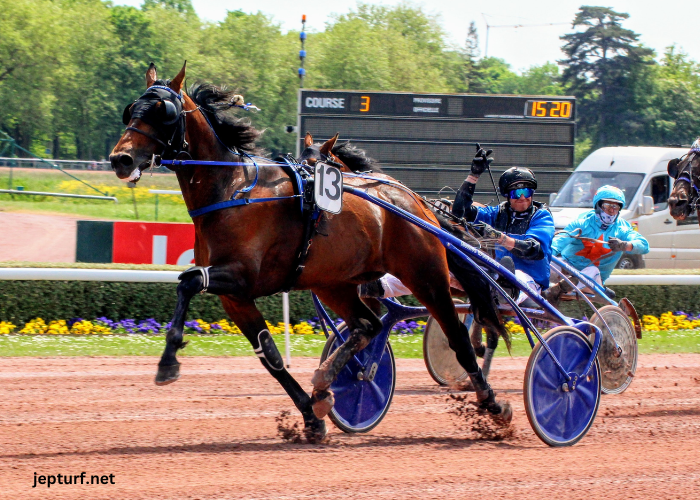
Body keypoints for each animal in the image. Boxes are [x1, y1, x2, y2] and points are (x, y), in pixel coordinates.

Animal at [109, 62, 508, 442]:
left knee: (457, 337)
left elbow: (188, 281)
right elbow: (269, 355)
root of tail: (417, 203)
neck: (232, 189)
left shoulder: (241, 276)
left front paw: (168, 361)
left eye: (162, 111)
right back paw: (324, 383)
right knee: (368, 324)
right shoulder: (235, 297)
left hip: (425, 274)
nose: (120, 159)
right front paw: (311, 418)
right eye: (131, 111)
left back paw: (492, 404)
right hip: (333, 283)